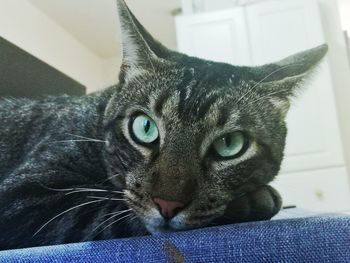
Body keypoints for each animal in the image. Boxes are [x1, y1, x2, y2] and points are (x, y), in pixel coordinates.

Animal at [0, 0, 328, 251]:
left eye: (230, 145)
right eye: (145, 128)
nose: (168, 204)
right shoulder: (20, 200)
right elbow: (106, 213)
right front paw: (255, 200)